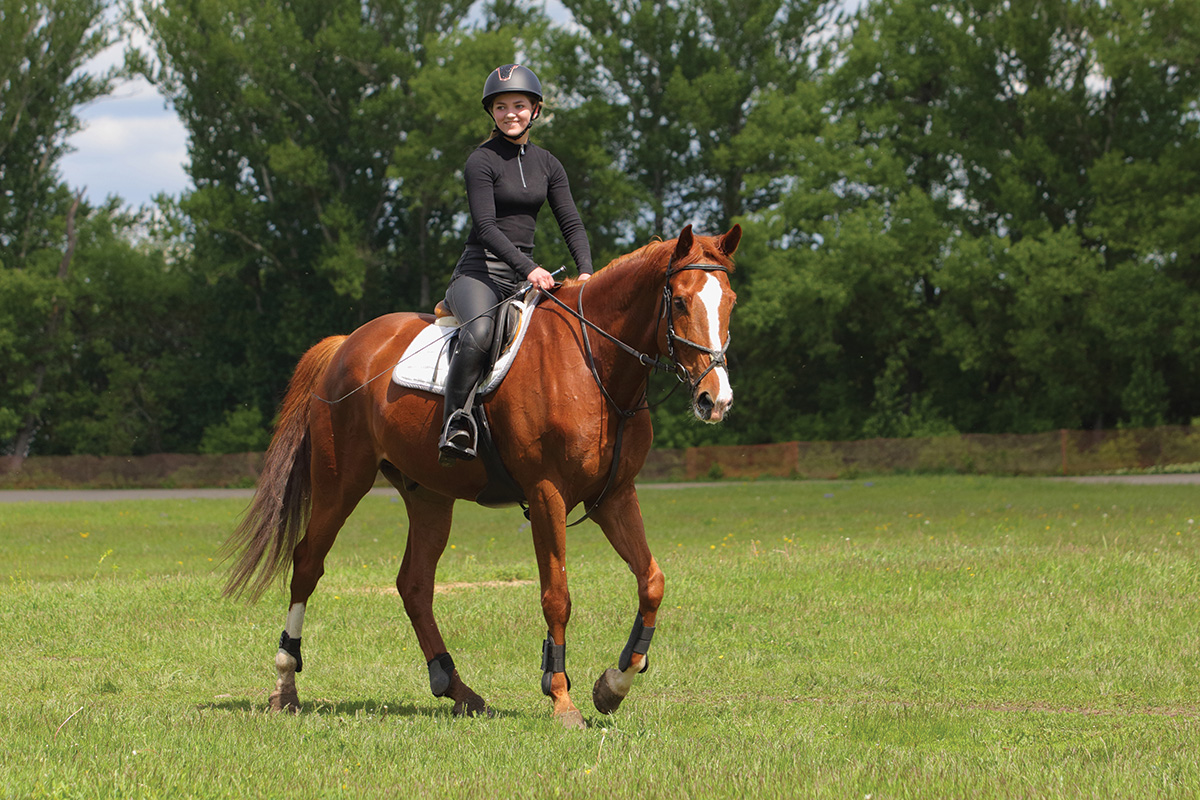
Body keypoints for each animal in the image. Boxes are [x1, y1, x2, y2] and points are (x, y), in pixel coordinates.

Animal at [219, 224, 734, 724]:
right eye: (680, 301)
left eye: (729, 301)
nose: (716, 399)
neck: (595, 365)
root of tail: (345, 344)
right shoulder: (547, 493)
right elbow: (557, 595)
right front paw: (562, 699)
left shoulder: (614, 495)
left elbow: (652, 581)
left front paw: (614, 685)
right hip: (340, 482)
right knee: (308, 563)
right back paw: (285, 686)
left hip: (428, 495)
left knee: (414, 585)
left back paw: (456, 688)